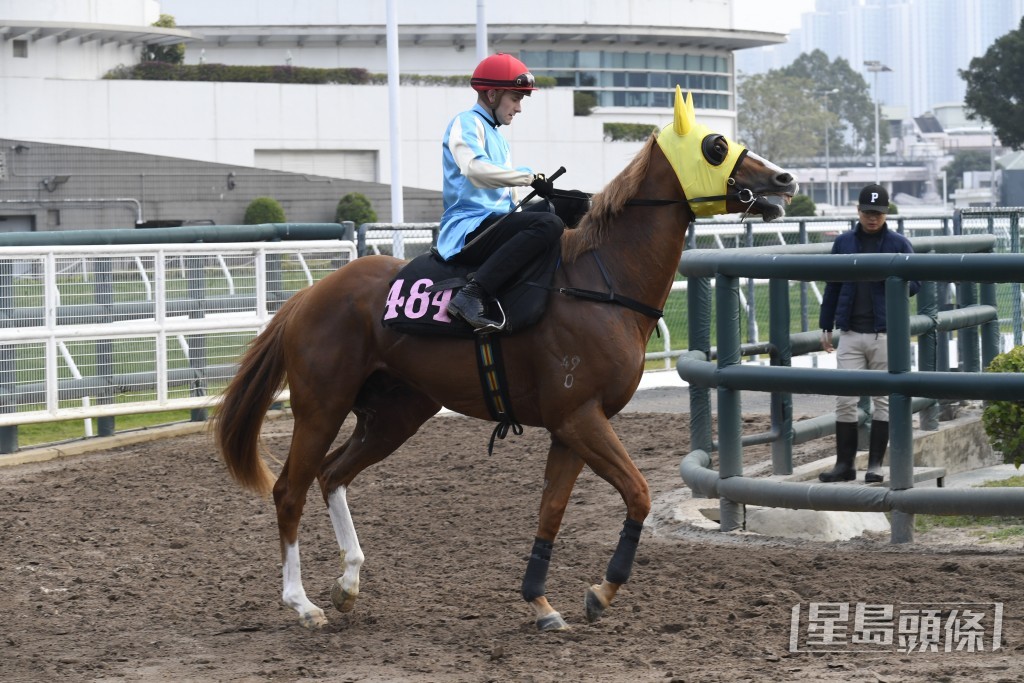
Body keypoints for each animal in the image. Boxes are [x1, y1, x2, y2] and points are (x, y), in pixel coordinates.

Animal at [211, 88, 794, 634]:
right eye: (716, 145)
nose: (785, 180)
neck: (600, 284)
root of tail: (308, 296)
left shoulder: (571, 426)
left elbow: (552, 510)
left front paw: (543, 601)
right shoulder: (580, 416)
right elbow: (638, 493)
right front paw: (601, 590)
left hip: (396, 413)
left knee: (333, 474)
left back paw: (348, 582)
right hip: (321, 406)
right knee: (290, 490)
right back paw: (302, 603)